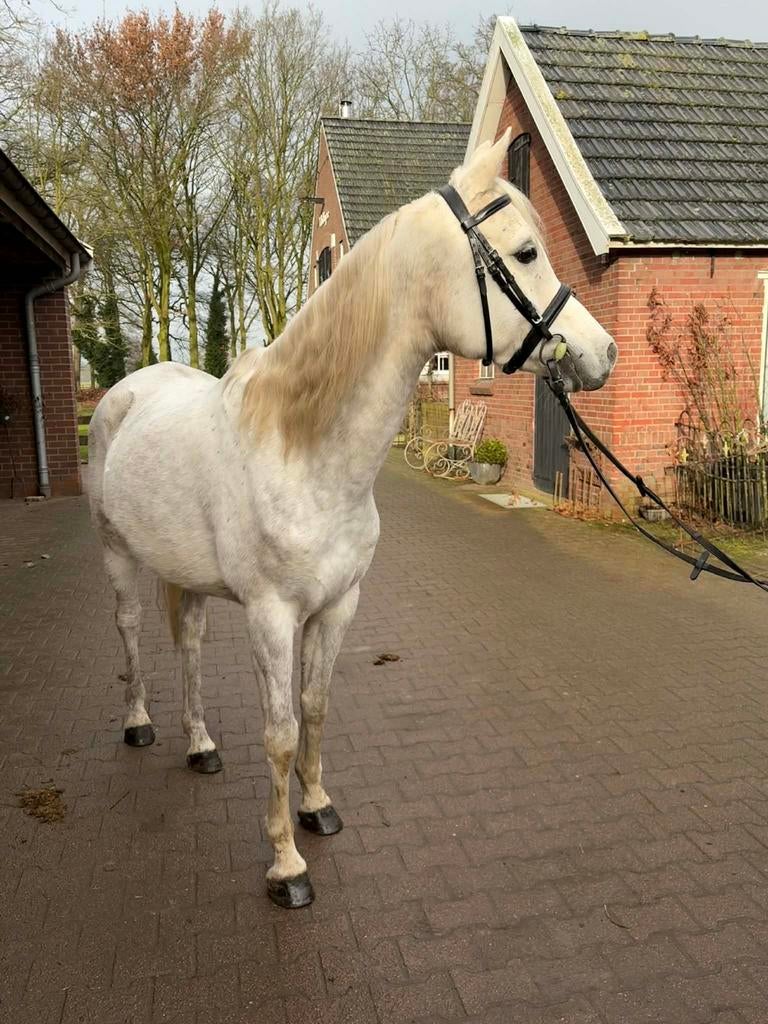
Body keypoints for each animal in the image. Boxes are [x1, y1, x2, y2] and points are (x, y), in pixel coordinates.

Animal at [88, 128, 617, 908]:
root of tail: (126, 391)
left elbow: (314, 707)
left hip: (189, 580)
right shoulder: (272, 615)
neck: (306, 450)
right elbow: (280, 732)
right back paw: (140, 726)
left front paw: (315, 808)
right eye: (525, 253)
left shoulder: (338, 606)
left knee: (190, 645)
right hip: (119, 558)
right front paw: (285, 865)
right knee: (127, 634)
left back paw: (202, 746)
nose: (601, 352)